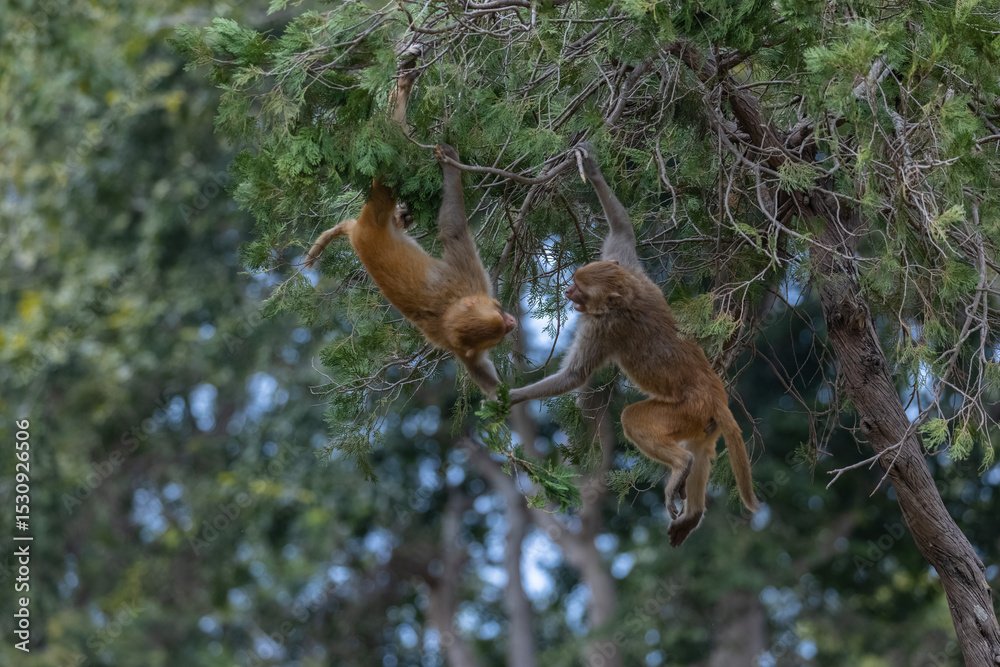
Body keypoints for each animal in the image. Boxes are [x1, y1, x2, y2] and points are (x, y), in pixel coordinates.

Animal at [303, 72, 516, 397]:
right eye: (501, 327)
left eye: (502, 318)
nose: (513, 322)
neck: (451, 310)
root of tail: (359, 233)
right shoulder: (469, 279)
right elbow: (453, 231)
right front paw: (450, 164)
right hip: (374, 221)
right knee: (386, 164)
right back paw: (402, 91)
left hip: (372, 222)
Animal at [509, 143, 758, 547]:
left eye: (579, 290)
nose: (568, 293)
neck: (626, 296)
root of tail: (716, 397)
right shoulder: (629, 269)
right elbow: (623, 230)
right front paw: (591, 169)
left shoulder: (603, 327)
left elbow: (575, 375)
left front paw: (509, 396)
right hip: (703, 420)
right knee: (702, 448)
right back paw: (693, 511)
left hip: (687, 410)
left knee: (637, 419)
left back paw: (680, 466)